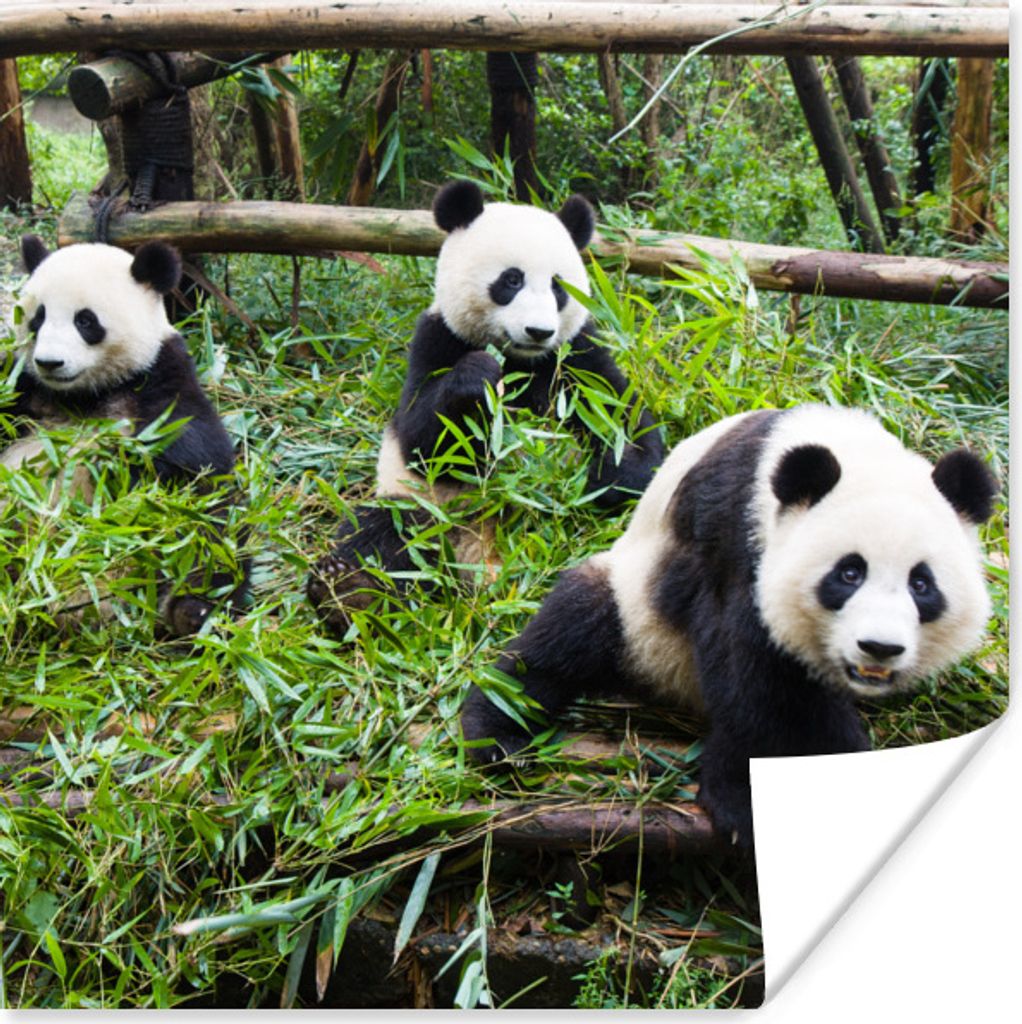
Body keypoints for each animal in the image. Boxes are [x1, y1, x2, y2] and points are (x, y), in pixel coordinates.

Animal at [2, 235, 247, 635]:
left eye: (85, 320)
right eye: (37, 318)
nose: (50, 363)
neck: (83, 395)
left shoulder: (161, 382)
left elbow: (195, 466)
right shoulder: (21, 389)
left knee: (211, 549)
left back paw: (190, 613)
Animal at [307, 180, 664, 633]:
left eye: (558, 287)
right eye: (511, 279)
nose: (538, 331)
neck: (521, 359)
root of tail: (479, 564)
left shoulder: (576, 355)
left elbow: (624, 422)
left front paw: (604, 474)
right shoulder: (436, 337)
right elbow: (421, 439)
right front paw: (478, 377)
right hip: (426, 512)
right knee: (382, 532)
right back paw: (349, 592)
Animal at [460, 405, 998, 847]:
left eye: (921, 584)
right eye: (849, 573)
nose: (879, 647)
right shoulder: (735, 538)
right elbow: (757, 679)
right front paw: (754, 804)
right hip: (635, 611)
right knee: (565, 637)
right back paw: (498, 736)